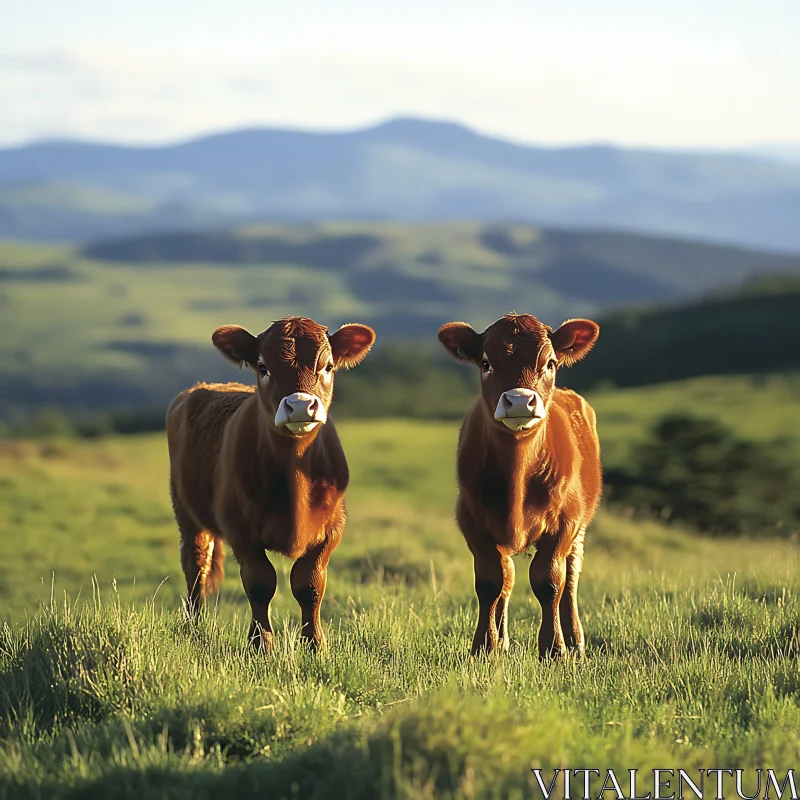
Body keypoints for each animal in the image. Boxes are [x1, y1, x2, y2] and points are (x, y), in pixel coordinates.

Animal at [166, 316, 378, 652]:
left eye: (328, 366)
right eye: (263, 367)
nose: (301, 406)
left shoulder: (333, 526)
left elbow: (310, 584)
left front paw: (315, 645)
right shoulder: (239, 528)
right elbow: (259, 583)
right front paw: (261, 645)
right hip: (186, 513)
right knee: (195, 564)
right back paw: (194, 625)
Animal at [438, 312, 600, 656]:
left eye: (550, 362)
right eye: (486, 363)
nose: (520, 401)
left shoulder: (565, 522)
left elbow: (550, 581)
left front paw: (554, 648)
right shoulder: (474, 522)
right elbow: (491, 583)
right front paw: (485, 647)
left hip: (580, 528)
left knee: (571, 576)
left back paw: (575, 641)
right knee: (508, 579)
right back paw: (503, 641)